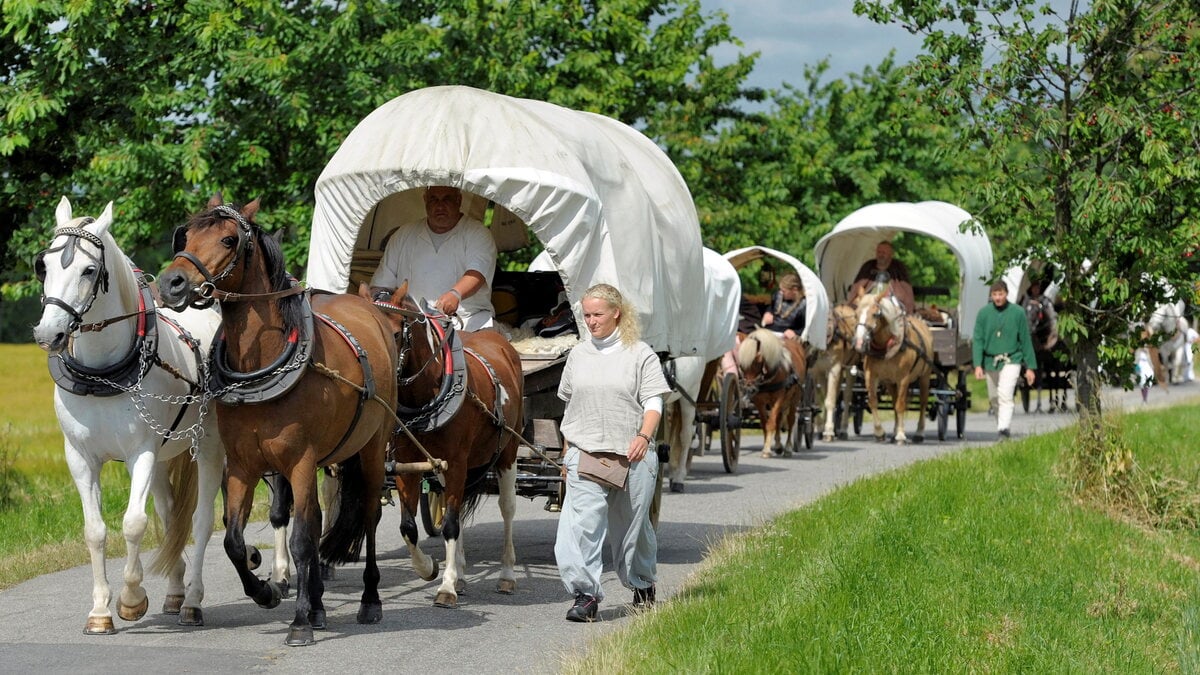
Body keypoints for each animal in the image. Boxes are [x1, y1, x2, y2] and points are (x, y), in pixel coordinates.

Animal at [31, 196, 225, 634]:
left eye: (89, 270)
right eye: (44, 266)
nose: (48, 335)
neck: (102, 373)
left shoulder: (143, 452)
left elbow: (134, 523)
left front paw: (132, 600)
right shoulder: (80, 457)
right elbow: (95, 531)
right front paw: (100, 612)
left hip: (208, 447)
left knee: (202, 521)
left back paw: (194, 600)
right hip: (168, 455)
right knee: (171, 518)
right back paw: (176, 593)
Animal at [152, 195, 398, 648]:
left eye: (229, 240)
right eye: (186, 235)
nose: (171, 283)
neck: (259, 365)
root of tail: (367, 308)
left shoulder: (299, 461)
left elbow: (301, 540)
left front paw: (299, 621)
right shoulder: (242, 465)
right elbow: (234, 539)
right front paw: (267, 592)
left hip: (372, 447)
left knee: (369, 514)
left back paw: (368, 600)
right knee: (315, 518)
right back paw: (317, 604)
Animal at [360, 281, 520, 607]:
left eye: (395, 333)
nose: (379, 379)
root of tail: (501, 343)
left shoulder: (457, 463)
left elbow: (450, 525)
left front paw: (446, 587)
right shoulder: (408, 465)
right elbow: (409, 527)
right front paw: (431, 569)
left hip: (508, 451)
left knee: (507, 508)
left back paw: (507, 575)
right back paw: (459, 573)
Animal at [729, 326, 806, 454]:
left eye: (759, 361)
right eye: (741, 365)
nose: (750, 388)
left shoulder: (779, 398)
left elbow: (771, 423)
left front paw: (766, 450)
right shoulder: (760, 402)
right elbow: (765, 423)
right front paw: (767, 445)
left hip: (795, 398)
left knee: (791, 420)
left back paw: (788, 447)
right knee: (779, 419)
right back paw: (778, 446)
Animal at [854, 288, 936, 441]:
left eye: (875, 314)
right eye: (856, 313)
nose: (859, 342)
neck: (887, 346)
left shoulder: (903, 379)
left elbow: (901, 405)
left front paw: (901, 434)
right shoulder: (871, 376)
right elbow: (873, 401)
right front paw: (880, 432)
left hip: (925, 377)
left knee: (923, 402)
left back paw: (919, 432)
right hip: (890, 382)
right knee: (894, 400)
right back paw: (895, 429)